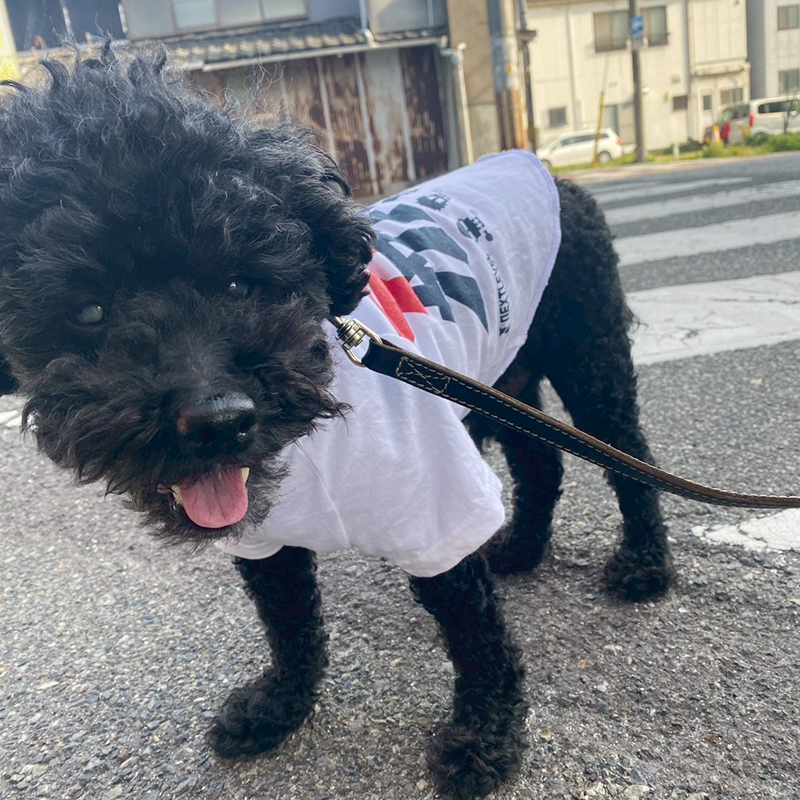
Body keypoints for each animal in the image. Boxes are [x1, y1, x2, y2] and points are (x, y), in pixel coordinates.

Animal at [0, 48, 675, 799]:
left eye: (239, 283)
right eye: (88, 311)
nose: (217, 422)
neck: (312, 439)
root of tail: (545, 169)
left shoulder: (433, 511)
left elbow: (475, 635)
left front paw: (486, 740)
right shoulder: (262, 535)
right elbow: (289, 622)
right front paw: (278, 709)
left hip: (587, 351)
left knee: (626, 457)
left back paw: (645, 566)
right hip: (503, 378)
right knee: (541, 460)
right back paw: (522, 549)